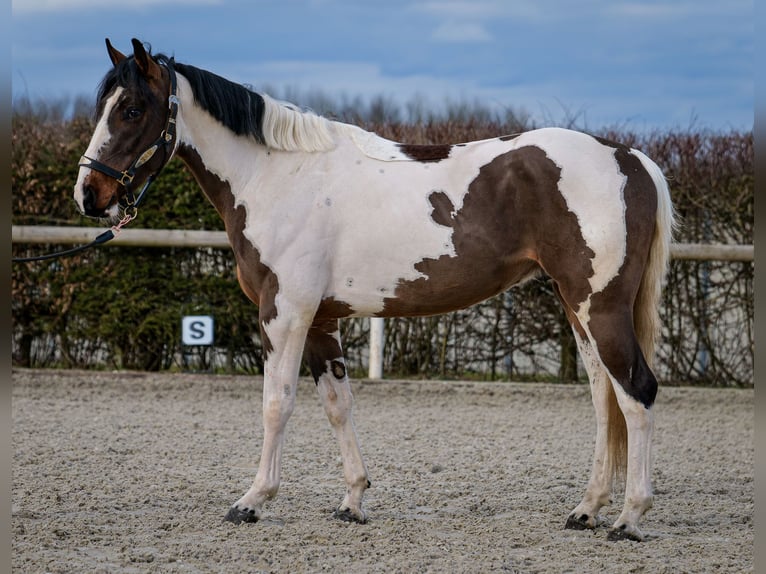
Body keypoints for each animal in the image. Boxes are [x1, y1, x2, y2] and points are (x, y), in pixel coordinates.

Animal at [72, 38, 672, 544]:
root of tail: (629, 159)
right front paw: (352, 501)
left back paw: (629, 518)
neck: (278, 177)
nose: (88, 193)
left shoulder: (284, 313)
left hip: (600, 307)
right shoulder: (320, 320)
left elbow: (276, 403)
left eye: (132, 110)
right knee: (603, 397)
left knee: (637, 392)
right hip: (578, 308)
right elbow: (338, 405)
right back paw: (586, 510)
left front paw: (252, 500)